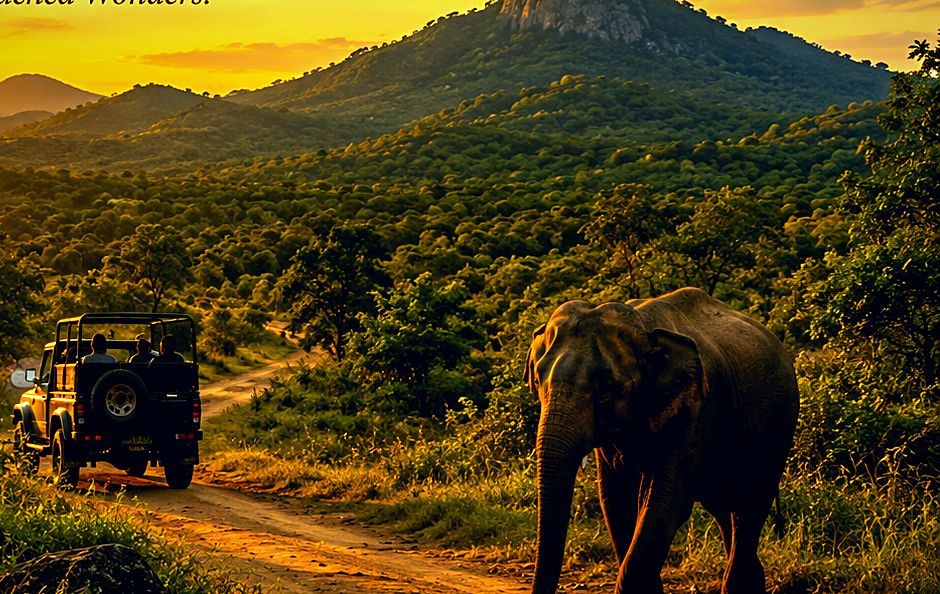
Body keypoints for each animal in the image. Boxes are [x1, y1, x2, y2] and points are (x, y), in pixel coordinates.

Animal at [524, 288, 799, 594]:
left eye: (606, 388)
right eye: (537, 380)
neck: (644, 326)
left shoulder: (698, 405)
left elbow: (666, 499)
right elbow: (615, 499)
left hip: (778, 427)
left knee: (749, 504)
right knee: (725, 509)